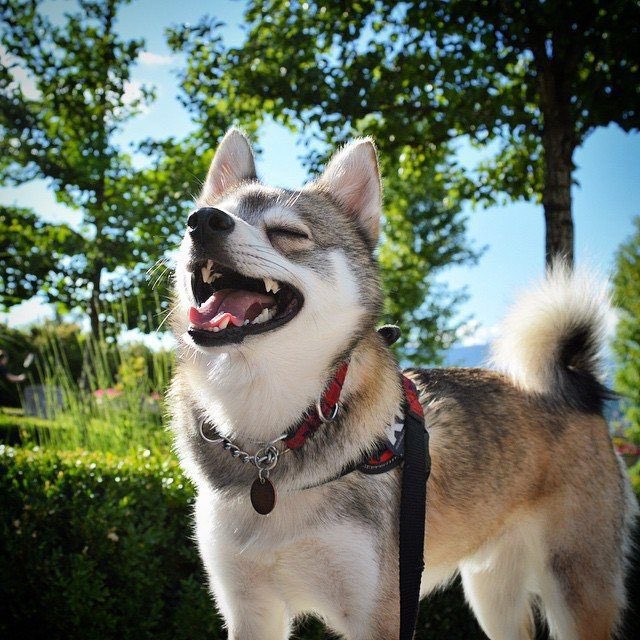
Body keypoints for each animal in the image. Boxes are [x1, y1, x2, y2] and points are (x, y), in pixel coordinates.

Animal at [169, 128, 638, 640]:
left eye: (288, 233)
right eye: (210, 213)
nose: (202, 221)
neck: (271, 443)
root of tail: (576, 389)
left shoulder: (381, 613)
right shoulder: (251, 611)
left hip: (576, 588)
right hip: (492, 595)